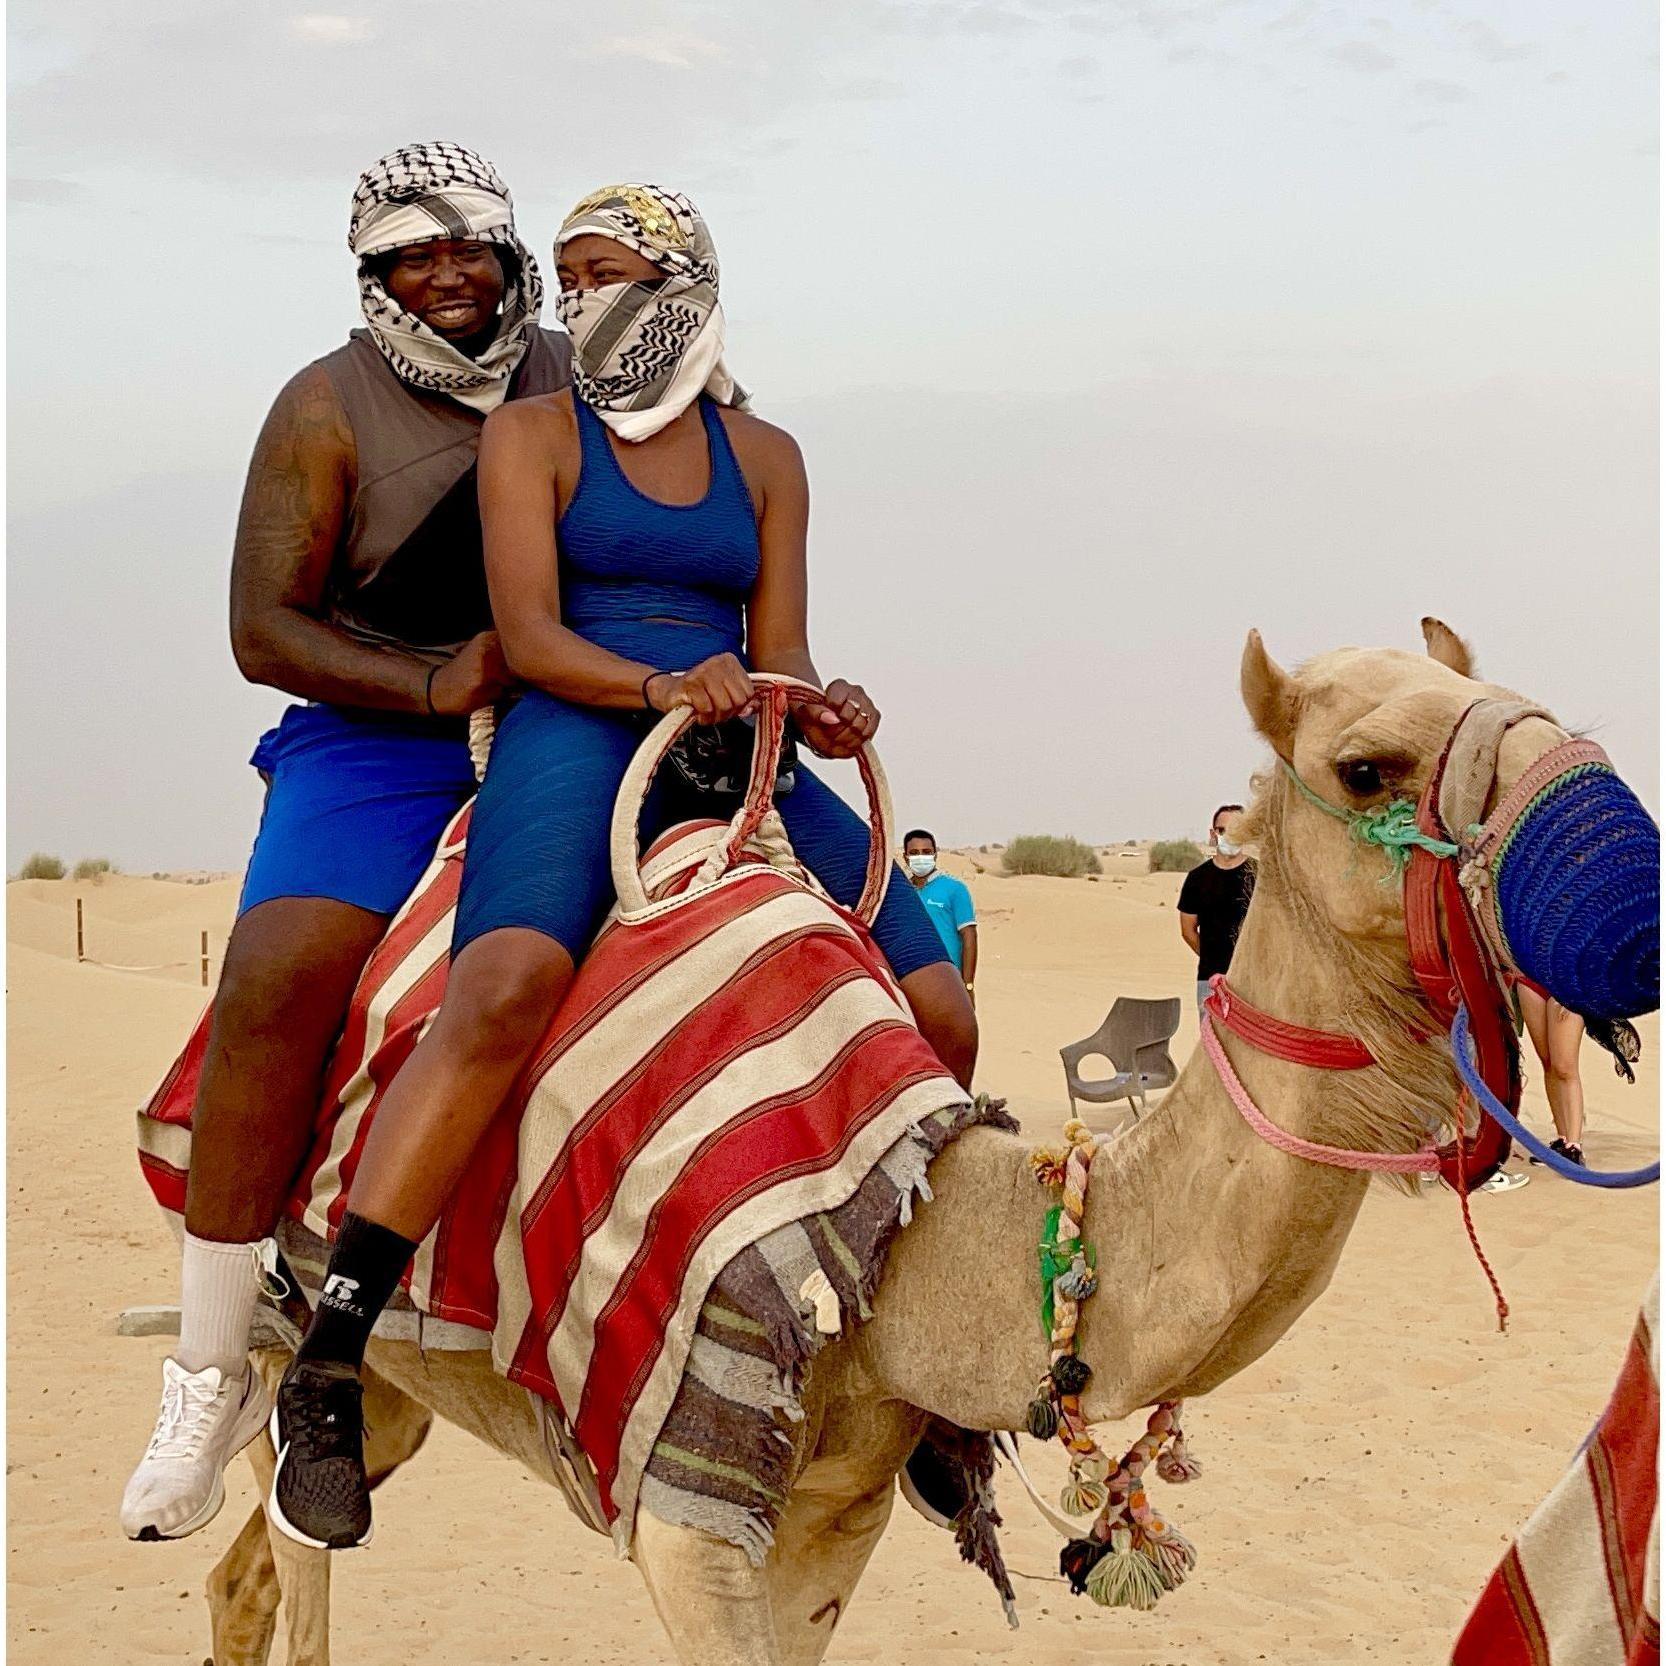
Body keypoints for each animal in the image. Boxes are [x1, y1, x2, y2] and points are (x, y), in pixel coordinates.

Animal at [201, 623, 1646, 1666]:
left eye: (1518, 696)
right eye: (1364, 767)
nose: (1619, 885)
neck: (901, 1246)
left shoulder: (830, 1512)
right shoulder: (687, 1507)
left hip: (404, 1387)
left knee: (249, 1573)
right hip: (292, 1319)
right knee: (291, 1533)